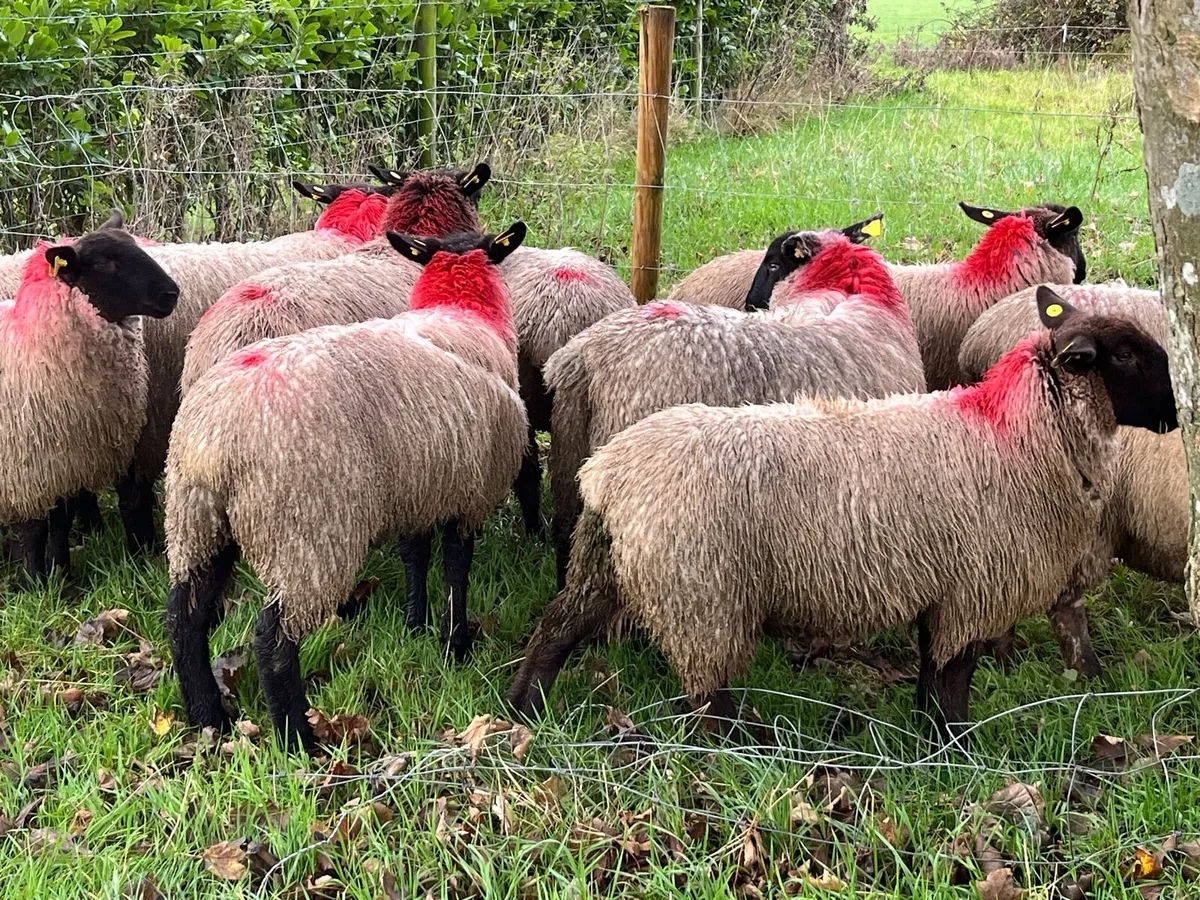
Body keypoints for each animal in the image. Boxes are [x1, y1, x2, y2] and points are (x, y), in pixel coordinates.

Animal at [0, 212, 179, 580]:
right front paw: (32, 581)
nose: (171, 293)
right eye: (104, 263)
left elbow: (61, 522)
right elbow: (34, 530)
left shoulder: (70, 460)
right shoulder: (25, 469)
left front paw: (61, 574)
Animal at [164, 224, 528, 750]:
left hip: (197, 522)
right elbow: (456, 571)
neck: (463, 311)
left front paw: (415, 624)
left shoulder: (419, 488)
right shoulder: (470, 495)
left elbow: (415, 556)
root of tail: (217, 440)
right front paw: (456, 644)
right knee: (273, 640)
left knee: (184, 618)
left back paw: (208, 718)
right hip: (309, 531)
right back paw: (298, 739)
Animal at [546, 226, 925, 587]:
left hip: (569, 448)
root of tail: (586, 352)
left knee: (566, 528)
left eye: (773, 265)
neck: (854, 293)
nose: (751, 304)